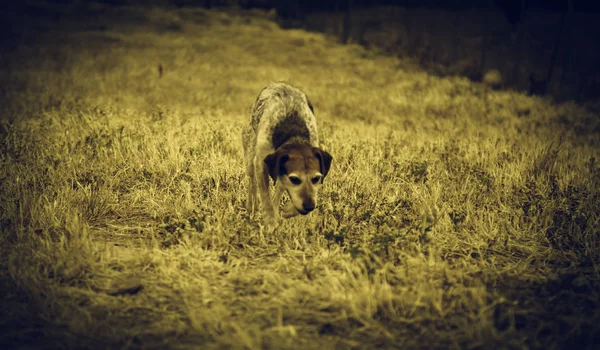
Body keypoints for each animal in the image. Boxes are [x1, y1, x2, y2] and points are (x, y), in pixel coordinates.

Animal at [241, 81, 332, 227]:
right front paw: (270, 222)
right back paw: (252, 208)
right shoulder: (261, 164)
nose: (309, 207)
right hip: (249, 153)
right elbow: (265, 197)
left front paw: (287, 210)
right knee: (252, 183)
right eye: (295, 179)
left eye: (316, 178)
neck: (294, 135)